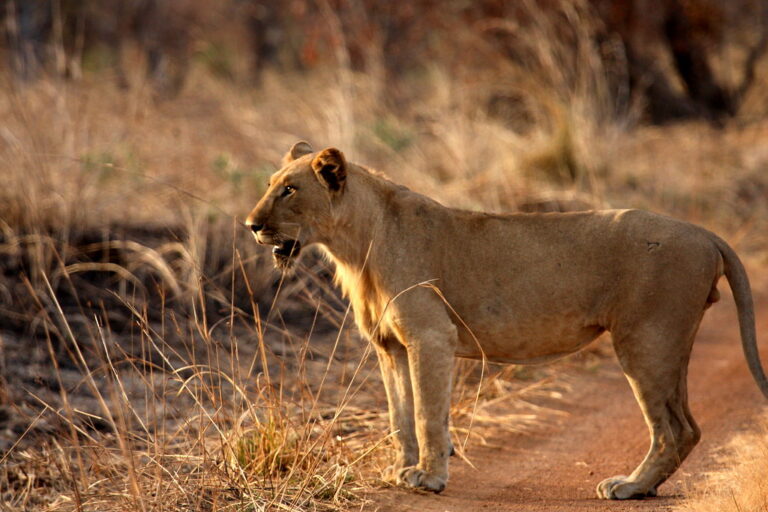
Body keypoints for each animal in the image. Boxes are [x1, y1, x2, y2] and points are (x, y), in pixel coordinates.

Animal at [245, 141, 768, 499]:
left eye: (289, 189)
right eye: (269, 184)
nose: (251, 225)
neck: (356, 247)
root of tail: (704, 232)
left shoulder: (430, 337)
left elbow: (428, 413)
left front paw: (430, 477)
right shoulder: (389, 347)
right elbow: (399, 415)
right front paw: (402, 471)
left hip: (646, 339)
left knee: (673, 428)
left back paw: (629, 486)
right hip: (667, 343)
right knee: (689, 426)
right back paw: (645, 486)